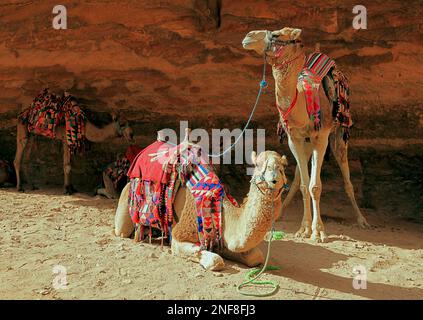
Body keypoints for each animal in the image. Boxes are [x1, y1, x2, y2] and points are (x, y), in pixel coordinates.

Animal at [114, 132, 290, 270]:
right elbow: (215, 260)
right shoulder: (180, 234)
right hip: (126, 203)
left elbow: (256, 257)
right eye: (259, 165)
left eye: (282, 167)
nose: (274, 180)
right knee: (122, 230)